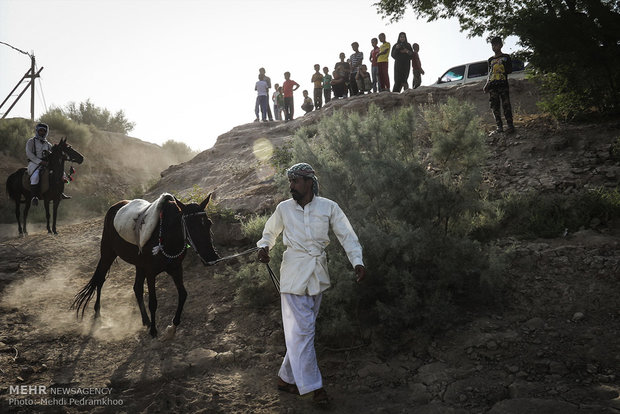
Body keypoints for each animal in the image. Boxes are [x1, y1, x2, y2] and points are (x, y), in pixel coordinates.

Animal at [71, 192, 220, 338]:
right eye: (189, 226)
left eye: (209, 223)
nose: (211, 257)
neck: (166, 235)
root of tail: (114, 207)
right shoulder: (151, 272)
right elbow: (153, 302)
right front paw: (154, 330)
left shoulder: (176, 269)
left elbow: (183, 295)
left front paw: (173, 326)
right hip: (108, 254)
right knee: (100, 280)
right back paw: (98, 314)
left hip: (138, 265)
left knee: (136, 288)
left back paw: (146, 320)